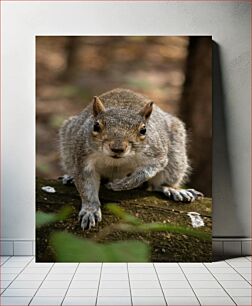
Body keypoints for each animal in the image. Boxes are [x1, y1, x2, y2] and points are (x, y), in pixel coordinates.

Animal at [59, 88, 203, 230]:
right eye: (96, 126)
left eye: (143, 130)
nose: (117, 148)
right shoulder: (83, 158)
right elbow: (86, 187)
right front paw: (90, 210)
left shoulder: (156, 154)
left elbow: (147, 171)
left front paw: (122, 184)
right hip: (67, 142)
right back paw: (70, 177)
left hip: (176, 155)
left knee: (158, 184)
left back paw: (172, 189)